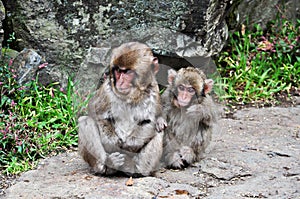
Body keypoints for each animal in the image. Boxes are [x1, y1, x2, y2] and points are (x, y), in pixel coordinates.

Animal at [77, 41, 166, 176]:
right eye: (118, 71)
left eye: (127, 72)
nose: (120, 82)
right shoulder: (107, 89)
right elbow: (95, 111)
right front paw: (113, 143)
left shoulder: (153, 90)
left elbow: (151, 120)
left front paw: (130, 144)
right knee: (85, 121)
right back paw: (106, 164)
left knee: (159, 130)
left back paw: (138, 170)